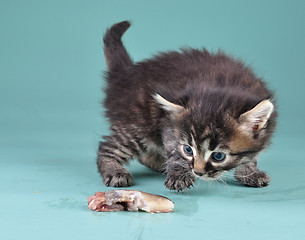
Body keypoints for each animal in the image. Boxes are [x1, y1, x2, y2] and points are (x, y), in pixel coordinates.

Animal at [96, 20, 276, 190]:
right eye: (188, 150)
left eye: (218, 156)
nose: (197, 172)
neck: (224, 86)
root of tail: (123, 74)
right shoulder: (168, 124)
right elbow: (175, 151)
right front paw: (178, 173)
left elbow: (251, 155)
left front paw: (250, 172)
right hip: (136, 125)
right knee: (107, 147)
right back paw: (115, 171)